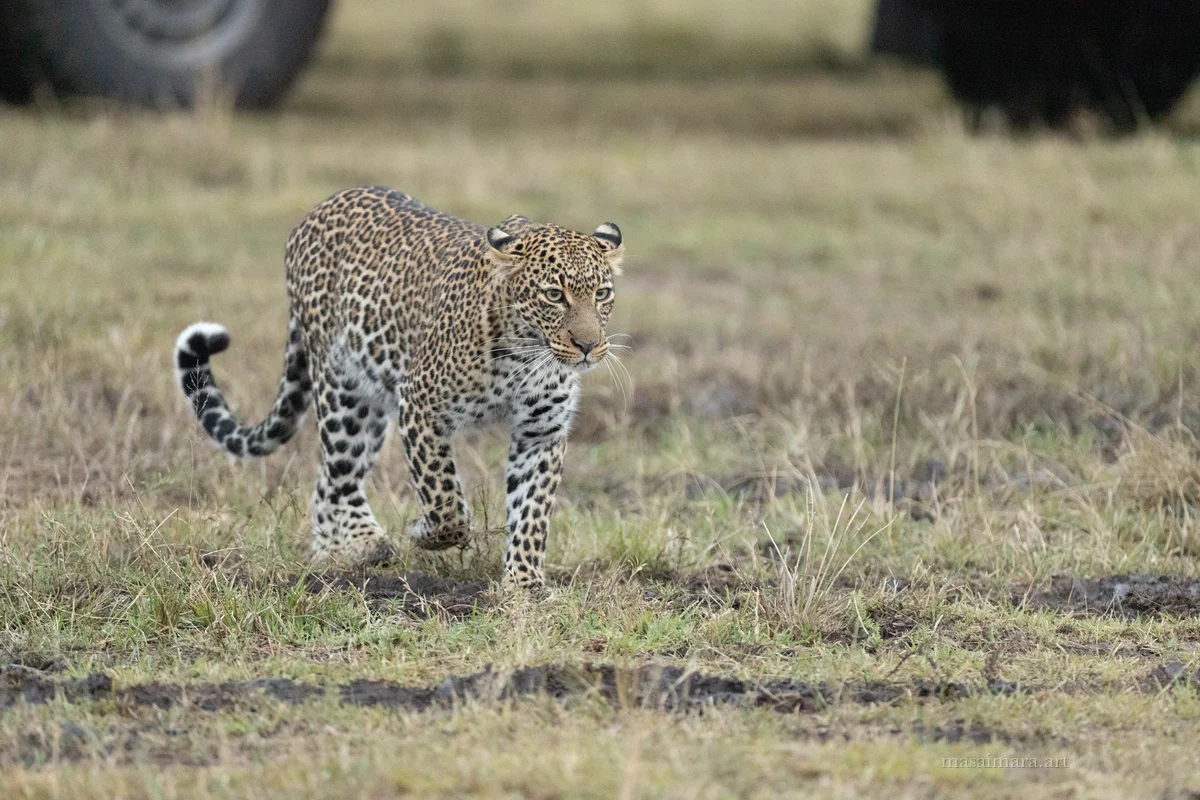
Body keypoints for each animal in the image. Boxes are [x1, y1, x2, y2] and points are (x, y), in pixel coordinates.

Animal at [173, 186, 623, 588]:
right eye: (554, 295)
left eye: (602, 293)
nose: (589, 347)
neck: (526, 356)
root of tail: (319, 208)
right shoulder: (420, 404)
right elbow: (445, 500)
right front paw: (423, 530)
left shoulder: (540, 432)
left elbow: (532, 511)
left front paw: (524, 584)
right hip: (343, 393)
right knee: (341, 477)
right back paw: (365, 545)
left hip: (371, 408)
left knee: (326, 483)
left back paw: (337, 554)